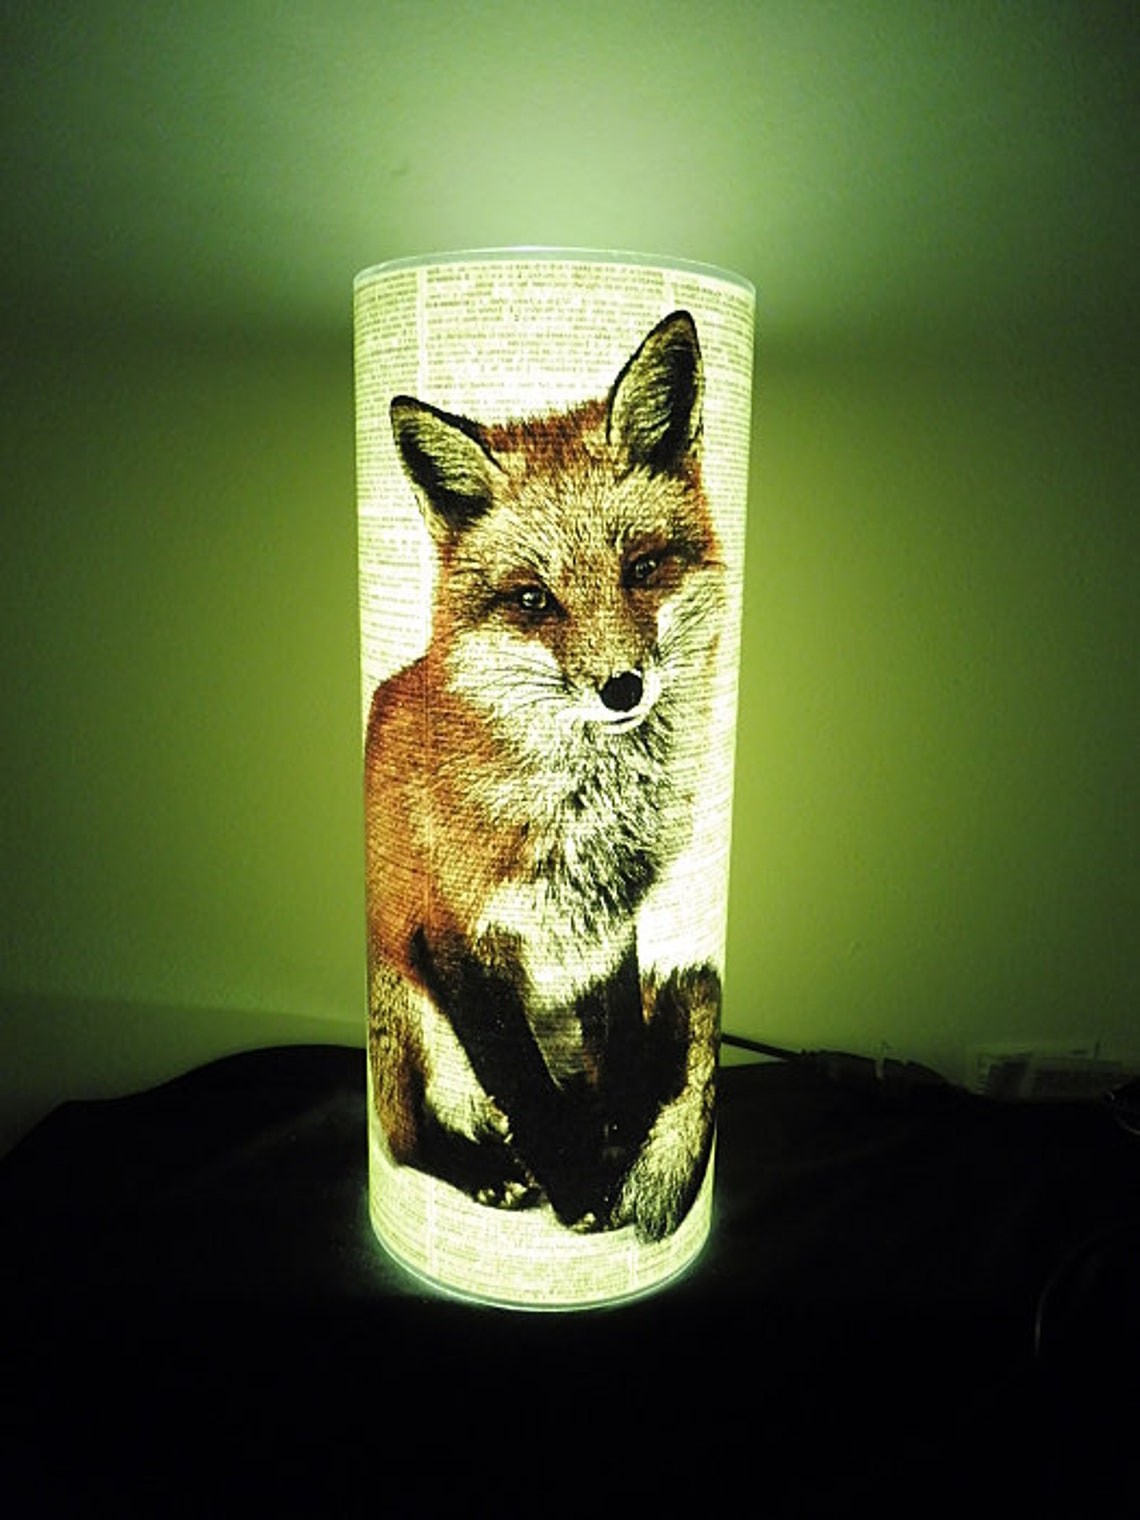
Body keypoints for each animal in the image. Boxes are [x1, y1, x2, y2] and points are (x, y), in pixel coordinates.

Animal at [365, 310, 724, 1242]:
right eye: (533, 601)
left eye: (643, 569)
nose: (622, 688)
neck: (579, 809)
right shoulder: (453, 937)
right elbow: (520, 1080)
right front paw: (579, 1188)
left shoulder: (609, 928)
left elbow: (624, 1049)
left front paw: (623, 1149)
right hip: (397, 1008)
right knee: (406, 1137)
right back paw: (487, 1169)